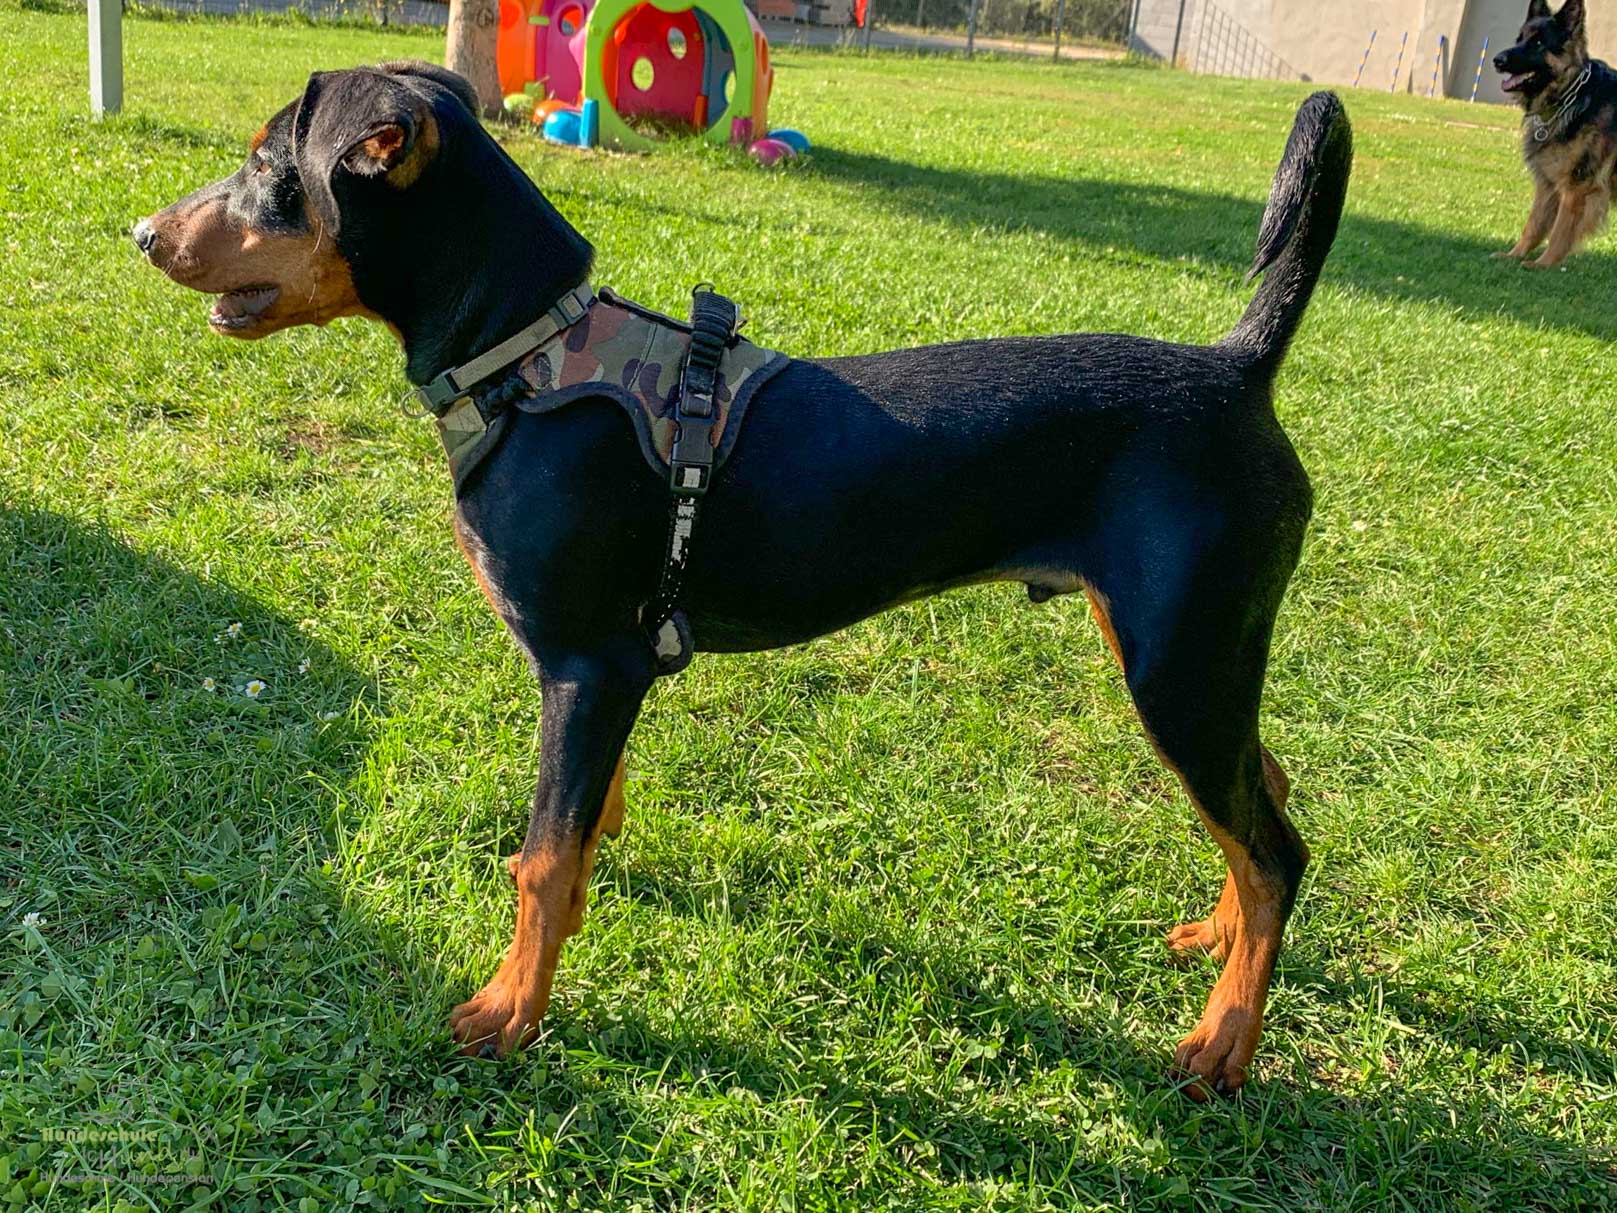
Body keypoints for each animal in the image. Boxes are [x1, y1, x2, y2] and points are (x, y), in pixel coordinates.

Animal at [134, 63, 1350, 1099]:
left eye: (267, 164)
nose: (143, 233)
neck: (526, 359)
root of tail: (1239, 366)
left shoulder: (587, 663)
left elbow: (541, 858)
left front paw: (510, 1011)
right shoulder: (606, 677)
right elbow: (581, 823)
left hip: (1179, 659)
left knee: (1276, 848)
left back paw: (1223, 1042)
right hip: (1180, 648)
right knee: (1265, 796)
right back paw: (1219, 943)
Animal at [1494, 0, 1617, 267]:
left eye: (1539, 42)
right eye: (1519, 39)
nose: (1497, 60)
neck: (1573, 96)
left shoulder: (1576, 188)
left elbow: (1560, 231)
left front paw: (1543, 264)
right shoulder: (1548, 184)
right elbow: (1533, 225)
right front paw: (1514, 255)